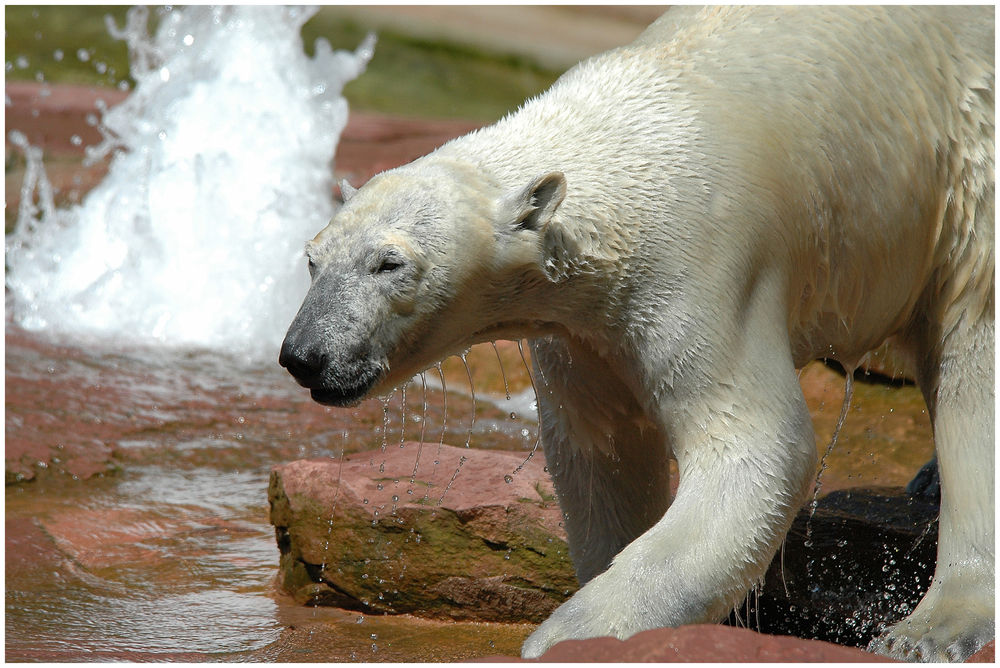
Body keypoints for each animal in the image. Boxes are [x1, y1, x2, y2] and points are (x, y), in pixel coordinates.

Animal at [280, 6, 992, 664]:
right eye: (313, 259)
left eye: (390, 263)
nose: (304, 356)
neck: (622, 138)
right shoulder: (580, 329)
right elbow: (600, 450)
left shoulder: (702, 267)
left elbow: (756, 446)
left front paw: (569, 635)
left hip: (968, 171)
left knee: (971, 365)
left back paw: (932, 627)